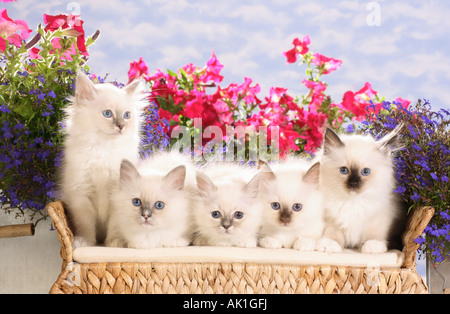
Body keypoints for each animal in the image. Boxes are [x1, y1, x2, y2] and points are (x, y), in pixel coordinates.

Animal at [59, 70, 146, 248]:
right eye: (107, 114)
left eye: (127, 115)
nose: (121, 126)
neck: (103, 148)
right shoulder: (81, 193)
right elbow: (85, 223)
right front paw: (85, 242)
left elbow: (115, 225)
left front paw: (115, 242)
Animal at [314, 124, 406, 254]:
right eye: (344, 170)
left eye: (365, 172)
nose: (353, 184)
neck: (352, 202)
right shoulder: (331, 219)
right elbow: (333, 234)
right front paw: (330, 245)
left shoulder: (379, 217)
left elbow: (373, 234)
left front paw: (372, 246)